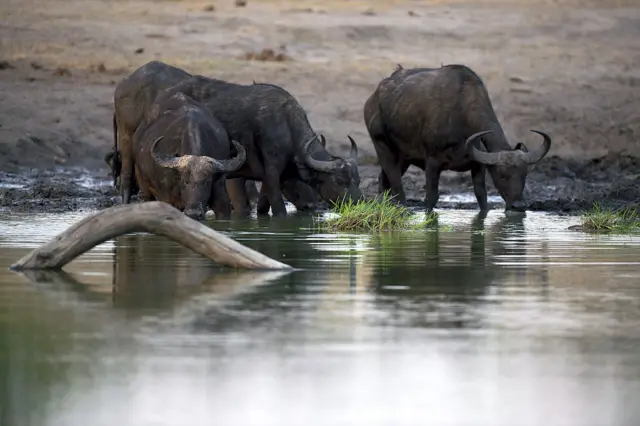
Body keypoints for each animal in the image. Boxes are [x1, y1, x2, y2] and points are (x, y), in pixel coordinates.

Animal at [132, 92, 245, 220]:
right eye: (185, 181)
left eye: (206, 182)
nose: (193, 213)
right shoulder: (166, 197)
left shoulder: (221, 196)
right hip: (143, 184)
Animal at [362, 63, 552, 213]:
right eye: (502, 175)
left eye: (524, 175)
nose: (519, 206)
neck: (461, 114)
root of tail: (372, 99)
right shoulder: (432, 163)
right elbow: (431, 198)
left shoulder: (478, 166)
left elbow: (482, 198)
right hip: (383, 147)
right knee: (396, 185)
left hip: (404, 157)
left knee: (384, 180)